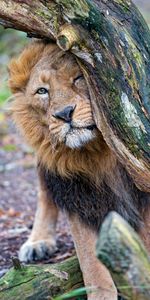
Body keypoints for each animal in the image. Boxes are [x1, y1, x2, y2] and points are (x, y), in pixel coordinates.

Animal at [8, 41, 150, 300]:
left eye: (78, 78)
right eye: (42, 91)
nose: (64, 114)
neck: (97, 154)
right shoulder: (79, 198)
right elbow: (92, 267)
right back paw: (38, 242)